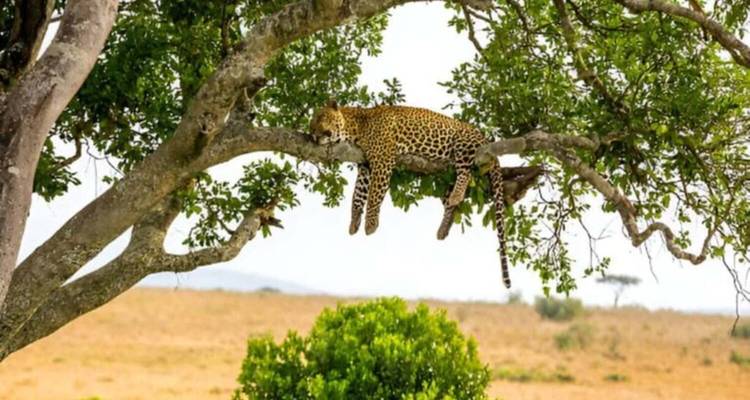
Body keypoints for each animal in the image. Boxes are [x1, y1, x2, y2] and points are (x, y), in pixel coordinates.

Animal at [309, 100, 511, 288]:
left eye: (320, 118)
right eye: (312, 123)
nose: (311, 133)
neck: (355, 127)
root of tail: (484, 138)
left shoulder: (383, 160)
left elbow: (374, 195)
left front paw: (370, 225)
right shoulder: (365, 166)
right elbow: (357, 196)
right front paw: (354, 222)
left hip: (463, 143)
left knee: (466, 172)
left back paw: (456, 196)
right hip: (444, 176)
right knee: (451, 202)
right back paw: (444, 227)